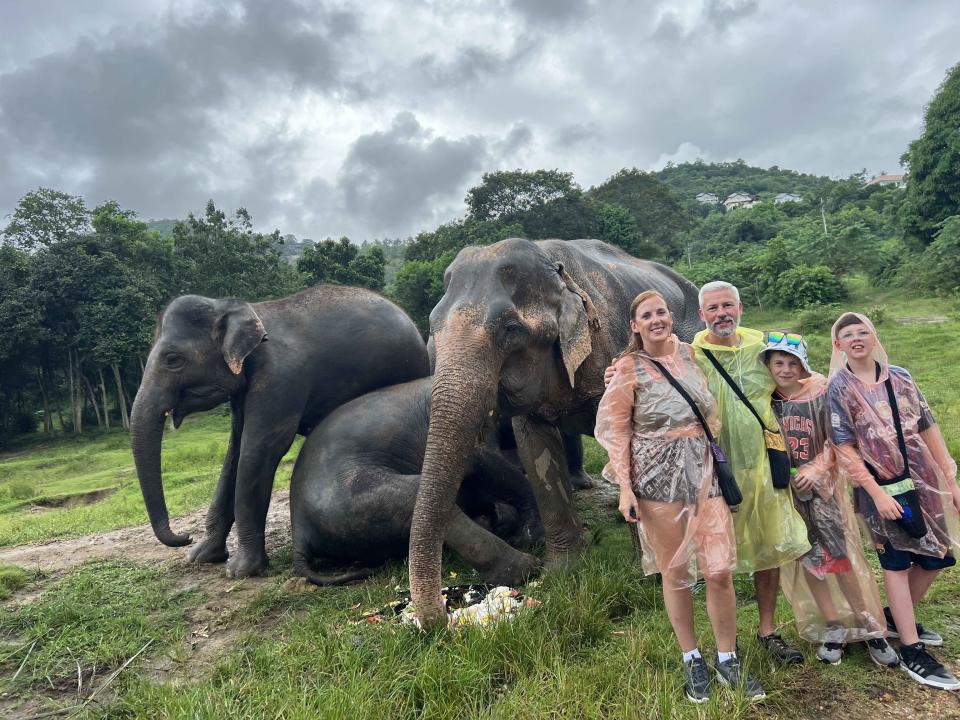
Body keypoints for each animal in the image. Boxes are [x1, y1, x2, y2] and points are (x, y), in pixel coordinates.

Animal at [129, 284, 430, 576]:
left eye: (173, 359)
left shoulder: (281, 378)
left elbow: (260, 450)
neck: (233, 306)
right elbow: (234, 453)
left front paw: (240, 570)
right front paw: (202, 557)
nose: (184, 537)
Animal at [288, 376, 544, 584]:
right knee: (418, 497)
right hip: (350, 499)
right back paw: (525, 568)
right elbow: (488, 465)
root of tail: (299, 529)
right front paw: (527, 534)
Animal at [408, 238, 700, 624]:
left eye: (510, 329)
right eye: (432, 329)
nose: (441, 618)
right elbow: (536, 450)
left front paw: (652, 575)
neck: (554, 268)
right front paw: (561, 573)